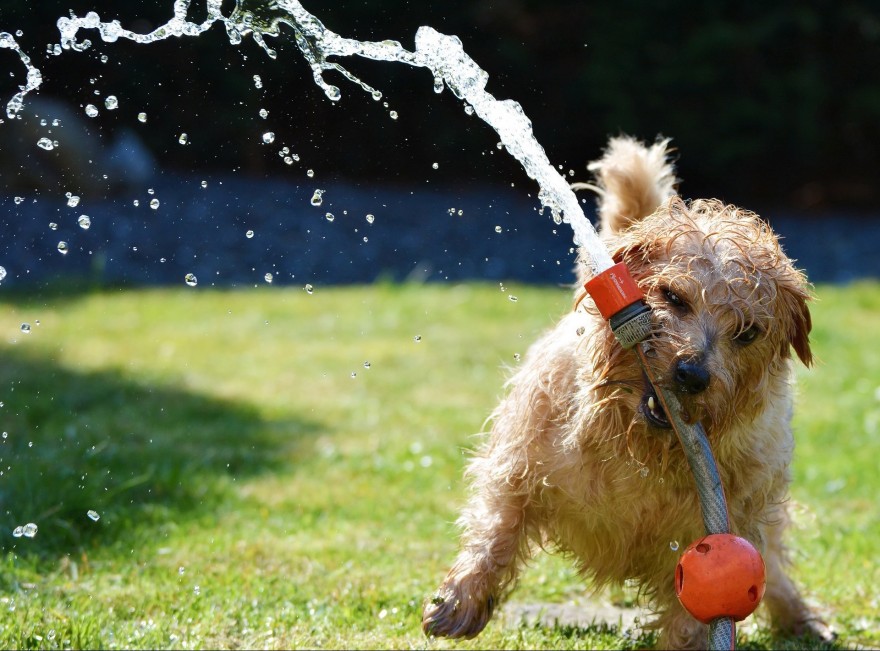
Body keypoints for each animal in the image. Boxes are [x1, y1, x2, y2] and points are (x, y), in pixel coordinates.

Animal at [422, 136, 828, 648]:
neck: (639, 450)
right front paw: (460, 600)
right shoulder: (518, 465)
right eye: (673, 297)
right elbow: (497, 528)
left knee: (772, 564)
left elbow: (694, 611)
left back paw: (801, 617)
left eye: (747, 332)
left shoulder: (718, 528)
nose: (691, 374)